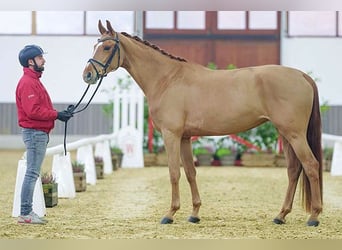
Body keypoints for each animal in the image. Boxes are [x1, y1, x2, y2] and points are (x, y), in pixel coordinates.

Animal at [81, 20, 322, 227]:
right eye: (94, 45)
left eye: (107, 47)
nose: (88, 75)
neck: (167, 79)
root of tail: (302, 76)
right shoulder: (185, 137)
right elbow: (190, 173)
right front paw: (194, 213)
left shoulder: (171, 135)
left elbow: (174, 173)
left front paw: (170, 214)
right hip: (286, 134)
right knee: (293, 170)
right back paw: (281, 215)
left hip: (294, 135)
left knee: (311, 165)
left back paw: (314, 216)